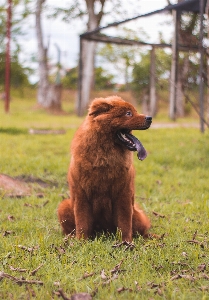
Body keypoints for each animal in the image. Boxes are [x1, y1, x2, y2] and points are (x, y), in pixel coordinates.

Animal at [57, 96, 152, 241]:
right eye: (128, 113)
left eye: (134, 111)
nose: (150, 118)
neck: (104, 157)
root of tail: (104, 232)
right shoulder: (81, 195)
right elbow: (82, 223)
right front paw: (81, 241)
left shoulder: (124, 194)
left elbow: (125, 224)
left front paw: (126, 242)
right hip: (64, 206)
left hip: (137, 215)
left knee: (141, 231)